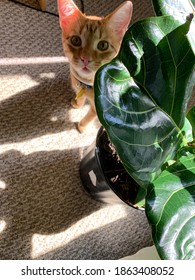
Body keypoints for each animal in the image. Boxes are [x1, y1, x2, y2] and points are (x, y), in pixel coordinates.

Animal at [57, 0, 133, 133]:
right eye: (75, 40)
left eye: (103, 45)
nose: (85, 59)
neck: (87, 84)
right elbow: (80, 99)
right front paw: (77, 104)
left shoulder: (99, 109)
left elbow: (89, 117)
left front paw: (81, 127)